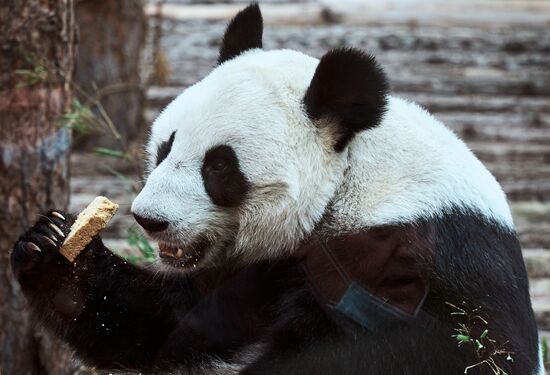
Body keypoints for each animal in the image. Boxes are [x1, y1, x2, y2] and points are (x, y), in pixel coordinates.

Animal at [10, 3, 544, 375]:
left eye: (219, 166)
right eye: (165, 147)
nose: (149, 219)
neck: (351, 181)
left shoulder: (418, 261)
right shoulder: (261, 267)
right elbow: (164, 323)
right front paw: (51, 245)